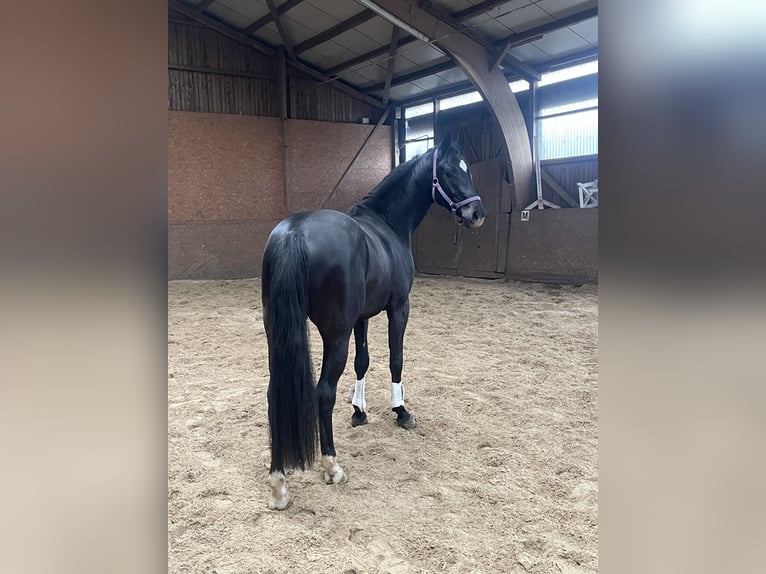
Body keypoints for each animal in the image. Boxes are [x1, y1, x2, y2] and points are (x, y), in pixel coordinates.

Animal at [258, 136, 486, 512]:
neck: (386, 225)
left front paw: (359, 411)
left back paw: (278, 485)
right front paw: (401, 411)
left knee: (274, 392)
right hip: (334, 336)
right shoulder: (399, 308)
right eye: (451, 171)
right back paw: (332, 466)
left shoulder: (361, 317)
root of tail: (293, 234)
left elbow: (362, 361)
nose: (476, 214)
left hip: (278, 334)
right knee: (323, 392)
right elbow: (396, 359)